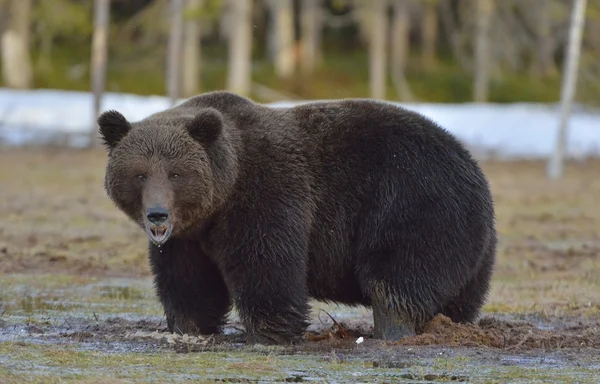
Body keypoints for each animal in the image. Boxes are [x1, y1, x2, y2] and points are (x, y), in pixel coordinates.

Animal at [99, 90, 496, 344]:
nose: (157, 214)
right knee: (458, 294)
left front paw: (268, 331)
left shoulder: (267, 192)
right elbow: (190, 283)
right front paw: (188, 327)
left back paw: (391, 329)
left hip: (413, 201)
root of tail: (472, 164)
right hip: (472, 246)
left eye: (176, 173)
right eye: (139, 174)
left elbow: (266, 263)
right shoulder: (187, 239)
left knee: (395, 274)